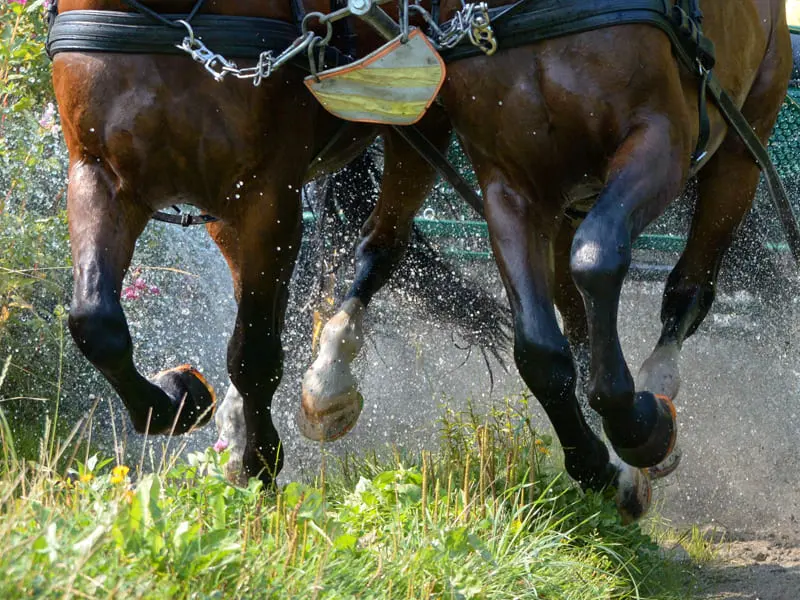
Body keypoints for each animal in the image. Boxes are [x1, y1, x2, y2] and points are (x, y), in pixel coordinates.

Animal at [304, 0, 794, 521]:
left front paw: (640, 425)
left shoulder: (660, 138)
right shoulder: (512, 188)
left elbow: (598, 256)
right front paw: (597, 465)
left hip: (740, 152)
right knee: (575, 315)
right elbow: (540, 349)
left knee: (690, 287)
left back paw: (657, 384)